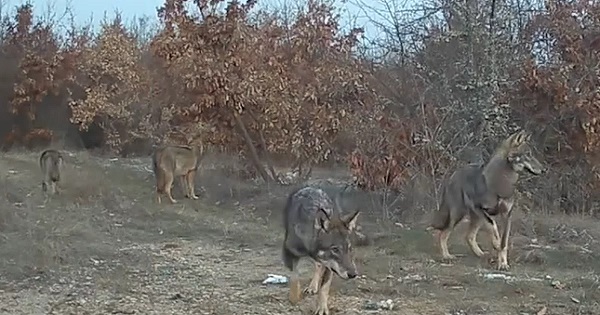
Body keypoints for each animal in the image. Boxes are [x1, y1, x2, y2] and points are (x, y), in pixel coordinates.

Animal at [428, 131, 548, 272]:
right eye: (528, 154)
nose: (544, 170)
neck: (502, 182)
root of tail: (454, 174)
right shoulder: (482, 210)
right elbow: (494, 229)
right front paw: (496, 245)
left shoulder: (507, 215)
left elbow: (504, 243)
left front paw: (503, 263)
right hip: (459, 215)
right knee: (443, 234)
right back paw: (447, 256)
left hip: (476, 219)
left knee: (469, 236)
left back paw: (481, 254)